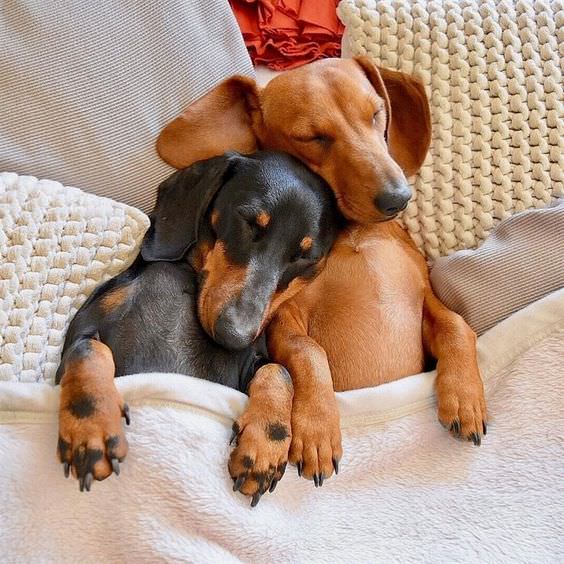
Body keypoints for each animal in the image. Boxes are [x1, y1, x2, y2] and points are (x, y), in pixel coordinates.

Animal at [56, 150, 340, 502]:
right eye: (248, 220)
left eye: (304, 258)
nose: (235, 335)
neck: (188, 280)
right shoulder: (85, 326)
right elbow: (88, 350)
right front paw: (90, 430)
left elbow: (278, 371)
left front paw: (263, 447)